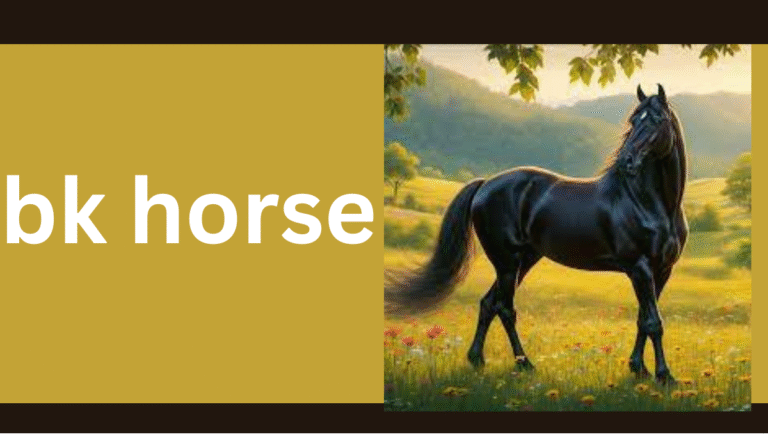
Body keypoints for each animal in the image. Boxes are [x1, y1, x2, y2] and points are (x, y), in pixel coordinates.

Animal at [385, 84, 688, 384]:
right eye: (634, 120)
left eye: (657, 120)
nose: (627, 161)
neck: (646, 202)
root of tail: (485, 184)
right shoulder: (639, 268)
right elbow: (653, 322)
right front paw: (664, 376)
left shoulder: (661, 270)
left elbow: (643, 320)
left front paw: (640, 369)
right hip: (507, 262)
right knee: (505, 309)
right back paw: (525, 364)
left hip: (524, 260)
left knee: (488, 304)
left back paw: (477, 360)